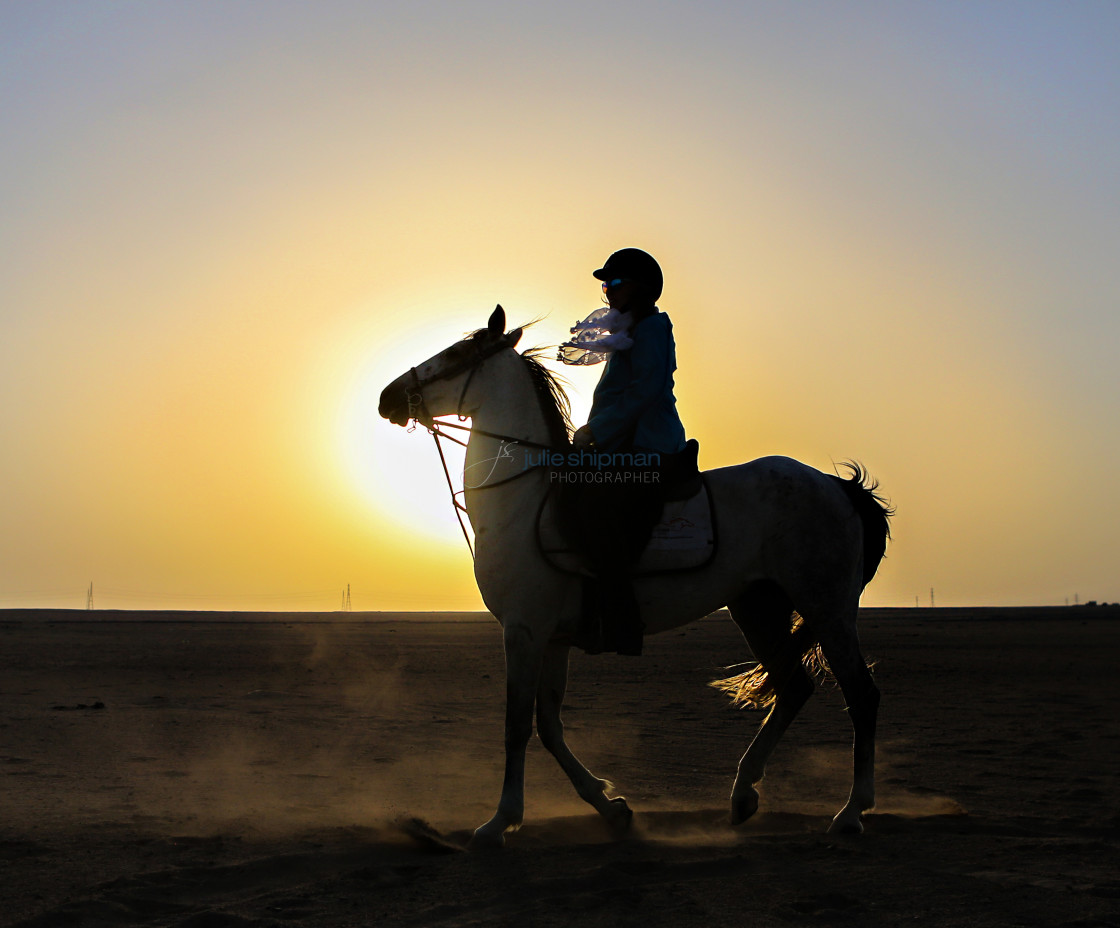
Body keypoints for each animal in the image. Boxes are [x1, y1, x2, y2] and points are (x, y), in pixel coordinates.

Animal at [380, 306, 896, 846]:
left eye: (455, 356)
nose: (386, 398)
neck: (525, 498)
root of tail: (839, 487)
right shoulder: (553, 637)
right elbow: (549, 725)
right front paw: (610, 807)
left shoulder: (523, 630)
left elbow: (517, 724)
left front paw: (501, 820)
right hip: (758, 607)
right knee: (794, 687)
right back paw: (743, 795)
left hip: (827, 608)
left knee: (861, 694)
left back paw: (851, 812)